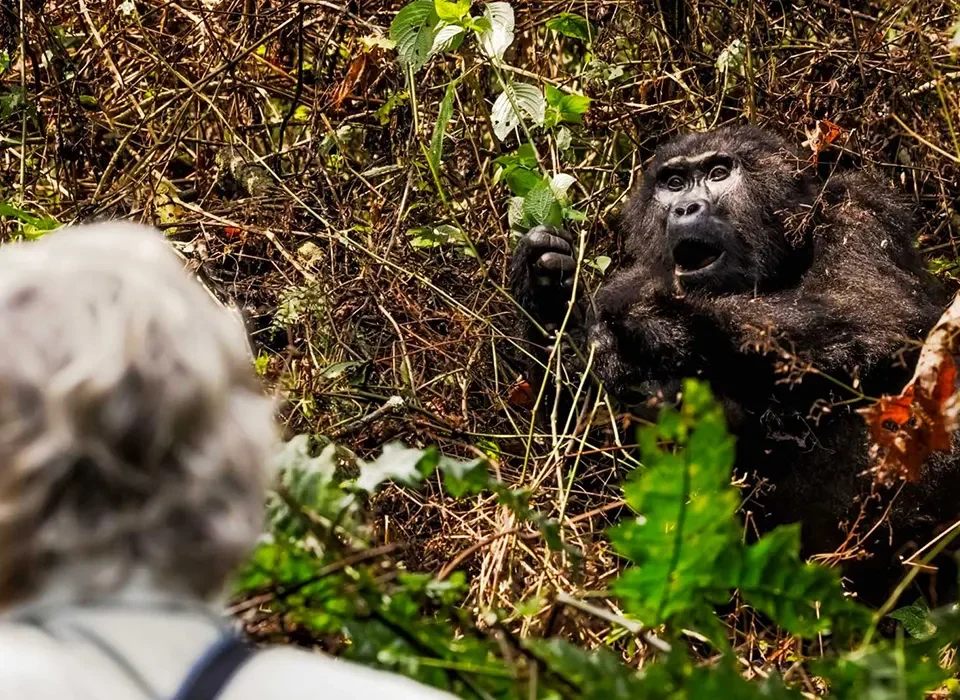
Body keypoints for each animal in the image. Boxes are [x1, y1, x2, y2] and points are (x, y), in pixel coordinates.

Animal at [509, 125, 960, 604]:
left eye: (719, 173)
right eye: (673, 183)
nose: (686, 208)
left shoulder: (859, 211)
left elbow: (874, 315)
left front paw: (668, 323)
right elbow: (574, 441)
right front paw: (544, 289)